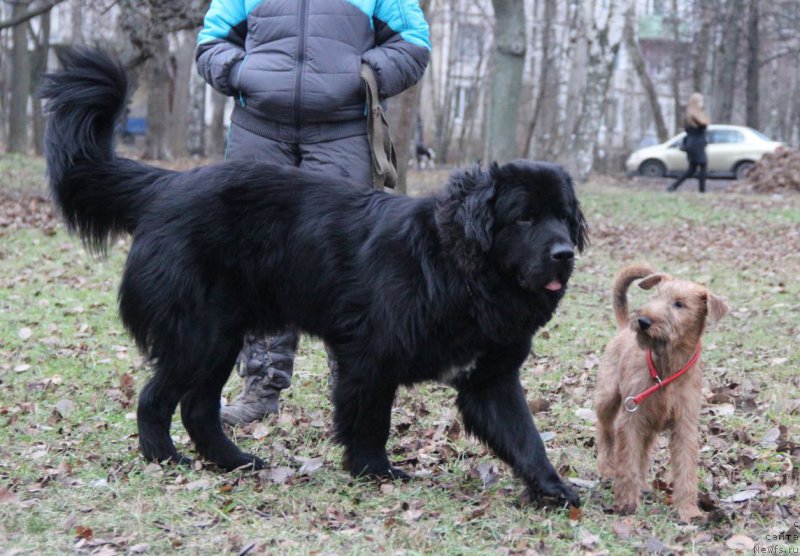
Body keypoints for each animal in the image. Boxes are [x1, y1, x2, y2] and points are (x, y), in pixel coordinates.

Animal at [40, 48, 588, 508]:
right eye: (524, 218)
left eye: (562, 217)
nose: (563, 253)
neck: (458, 267)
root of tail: (167, 184)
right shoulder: (370, 356)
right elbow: (371, 420)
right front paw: (375, 472)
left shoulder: (491, 376)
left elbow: (525, 435)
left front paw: (554, 488)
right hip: (197, 333)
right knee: (156, 399)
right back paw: (165, 460)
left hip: (221, 335)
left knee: (198, 406)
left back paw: (235, 461)